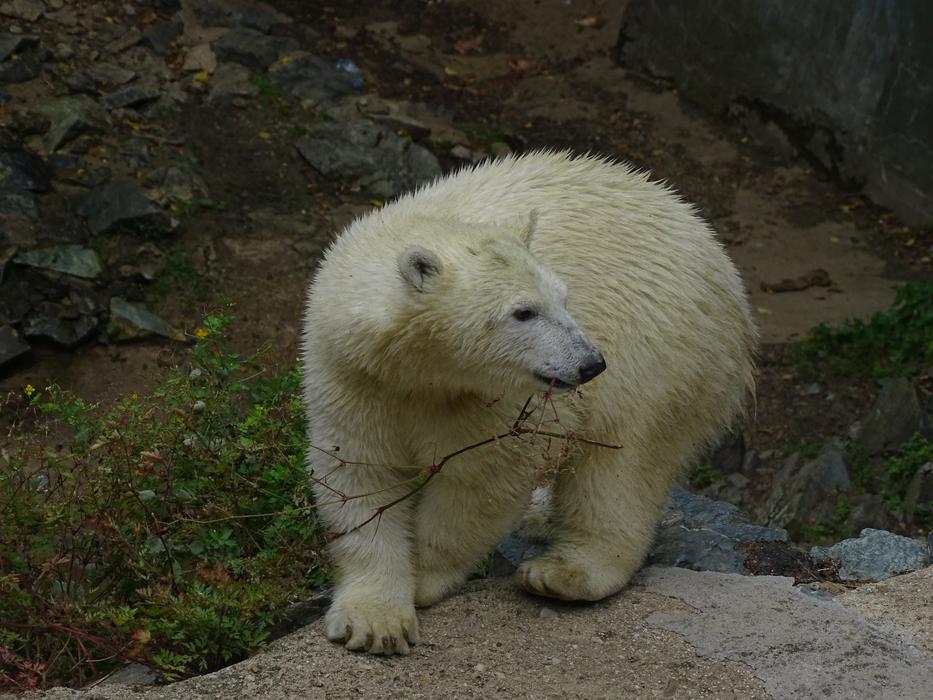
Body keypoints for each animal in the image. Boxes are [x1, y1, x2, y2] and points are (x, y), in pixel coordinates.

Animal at [301, 151, 757, 656]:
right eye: (523, 312)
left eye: (564, 298)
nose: (590, 363)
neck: (421, 371)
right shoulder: (355, 376)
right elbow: (360, 475)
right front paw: (373, 622)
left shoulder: (498, 399)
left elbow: (483, 480)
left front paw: (425, 577)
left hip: (662, 346)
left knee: (623, 465)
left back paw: (563, 573)